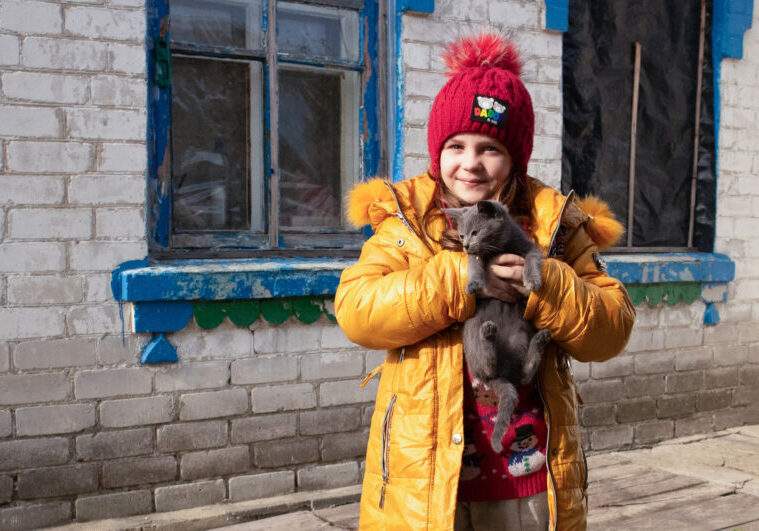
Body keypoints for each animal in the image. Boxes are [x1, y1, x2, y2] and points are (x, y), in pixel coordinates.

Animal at [446, 200, 552, 454]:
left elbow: (532, 260)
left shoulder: (528, 249)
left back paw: (540, 339)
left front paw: (532, 281)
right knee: (487, 363)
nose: (465, 245)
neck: (499, 247)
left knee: (524, 374)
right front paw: (474, 285)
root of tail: (503, 375)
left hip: (521, 335)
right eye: (462, 235)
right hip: (472, 334)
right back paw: (489, 334)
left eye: (475, 232)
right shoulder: (476, 258)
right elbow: (475, 267)